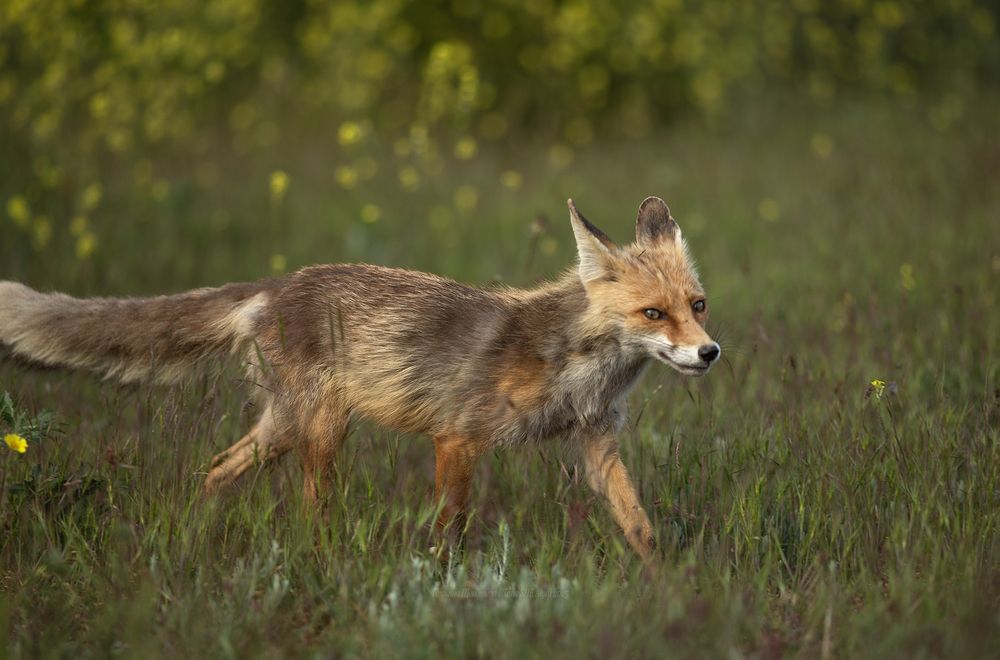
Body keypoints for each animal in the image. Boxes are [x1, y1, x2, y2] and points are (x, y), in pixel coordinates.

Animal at [0, 196, 719, 562]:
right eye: (653, 314)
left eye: (698, 305)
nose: (709, 353)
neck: (578, 368)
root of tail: (277, 283)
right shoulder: (457, 437)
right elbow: (451, 530)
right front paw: (447, 585)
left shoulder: (596, 442)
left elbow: (639, 525)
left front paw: (663, 585)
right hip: (319, 430)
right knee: (307, 510)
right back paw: (320, 565)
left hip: (284, 431)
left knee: (215, 470)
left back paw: (195, 536)